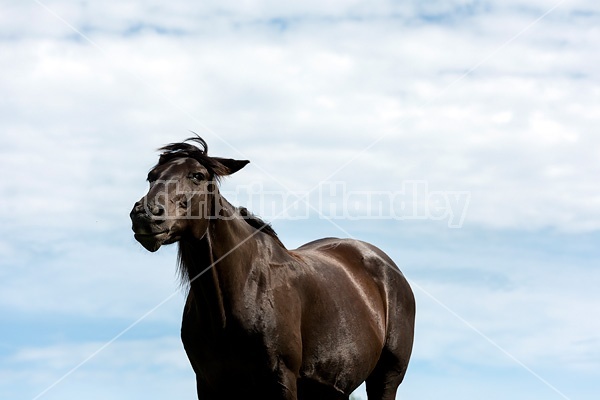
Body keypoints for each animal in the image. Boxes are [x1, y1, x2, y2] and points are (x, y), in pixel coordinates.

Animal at [129, 136, 414, 398]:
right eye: (151, 177)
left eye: (197, 175)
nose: (145, 214)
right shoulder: (209, 384)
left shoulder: (281, 380)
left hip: (386, 378)